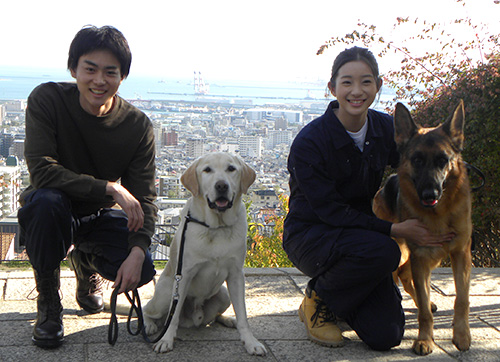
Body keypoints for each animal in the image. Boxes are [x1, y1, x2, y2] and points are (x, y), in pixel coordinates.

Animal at [374, 99, 470, 356]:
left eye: (442, 160)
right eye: (416, 160)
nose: (430, 194)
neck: (439, 214)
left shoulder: (460, 254)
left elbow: (462, 298)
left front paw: (462, 336)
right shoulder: (421, 255)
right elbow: (425, 312)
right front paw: (425, 339)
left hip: (430, 256)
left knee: (410, 279)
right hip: (403, 251)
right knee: (404, 277)